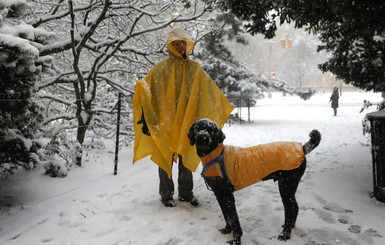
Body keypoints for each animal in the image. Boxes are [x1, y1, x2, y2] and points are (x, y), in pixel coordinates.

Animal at [187, 118, 320, 243]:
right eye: (198, 128)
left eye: (210, 130)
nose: (202, 136)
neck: (214, 155)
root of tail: (302, 148)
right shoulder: (219, 194)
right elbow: (226, 216)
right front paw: (227, 230)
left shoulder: (227, 195)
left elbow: (233, 218)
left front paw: (236, 239)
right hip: (290, 187)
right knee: (295, 207)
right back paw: (291, 226)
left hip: (286, 186)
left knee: (290, 208)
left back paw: (286, 234)